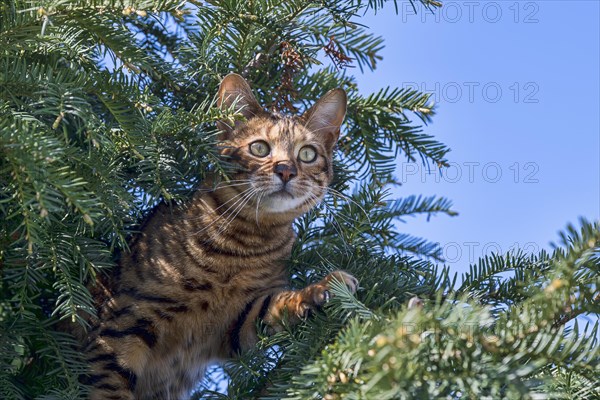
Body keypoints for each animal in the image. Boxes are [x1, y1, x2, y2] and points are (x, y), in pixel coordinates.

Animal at [82, 72, 358, 400]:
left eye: (307, 154)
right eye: (260, 148)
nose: (286, 170)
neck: (241, 247)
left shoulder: (237, 323)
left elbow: (276, 306)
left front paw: (320, 290)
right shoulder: (126, 319)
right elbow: (108, 386)